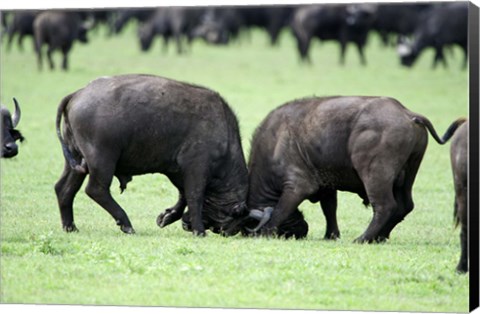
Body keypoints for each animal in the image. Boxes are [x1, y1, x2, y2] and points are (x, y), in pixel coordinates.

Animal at [54, 73, 270, 236]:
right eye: (230, 221)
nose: (187, 225)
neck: (223, 134)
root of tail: (77, 94)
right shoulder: (196, 167)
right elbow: (194, 196)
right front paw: (199, 230)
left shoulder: (177, 171)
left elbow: (183, 196)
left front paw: (167, 216)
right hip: (102, 160)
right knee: (96, 189)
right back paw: (126, 223)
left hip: (75, 161)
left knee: (64, 189)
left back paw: (70, 227)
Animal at [246, 97, 464, 242]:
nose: (302, 230)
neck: (274, 142)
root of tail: (408, 114)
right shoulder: (326, 185)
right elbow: (329, 209)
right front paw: (331, 235)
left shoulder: (298, 186)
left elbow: (280, 210)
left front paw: (266, 232)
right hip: (409, 173)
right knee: (405, 205)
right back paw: (380, 237)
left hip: (375, 173)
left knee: (386, 206)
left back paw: (363, 238)